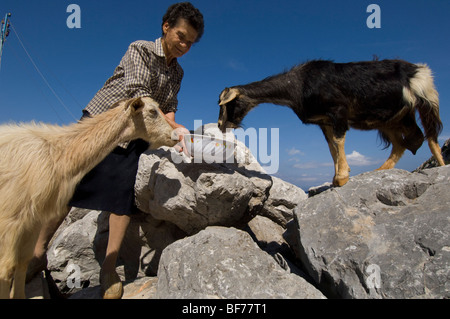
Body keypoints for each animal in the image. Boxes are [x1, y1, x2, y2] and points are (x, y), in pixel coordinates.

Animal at [219, 59, 446, 188]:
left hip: (425, 102)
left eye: (228, 103)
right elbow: (331, 147)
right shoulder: (323, 121)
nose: (221, 125)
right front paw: (336, 177)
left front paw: (342, 177)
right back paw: (380, 170)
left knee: (430, 136)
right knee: (406, 141)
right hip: (393, 119)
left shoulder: (338, 112)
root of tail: (420, 70)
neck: (298, 86)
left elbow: (338, 141)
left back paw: (442, 166)